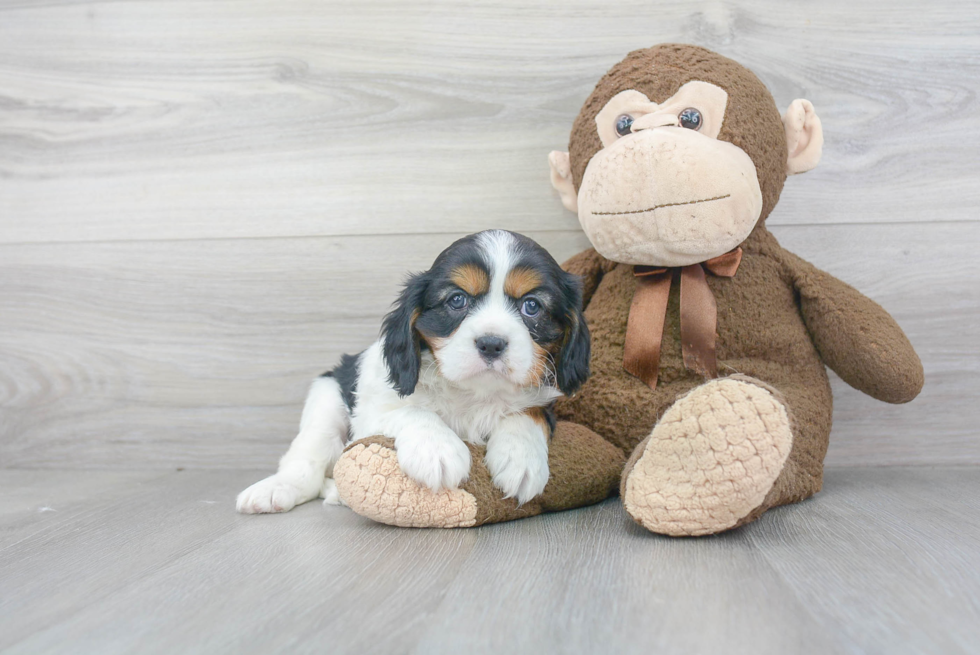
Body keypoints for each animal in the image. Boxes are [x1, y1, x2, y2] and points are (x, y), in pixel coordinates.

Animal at [237, 228, 588, 516]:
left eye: (532, 306)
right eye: (457, 300)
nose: (491, 343)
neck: (474, 392)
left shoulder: (542, 401)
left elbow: (527, 414)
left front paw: (521, 460)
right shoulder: (372, 409)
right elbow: (412, 411)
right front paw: (438, 450)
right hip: (326, 400)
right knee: (305, 461)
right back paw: (275, 489)